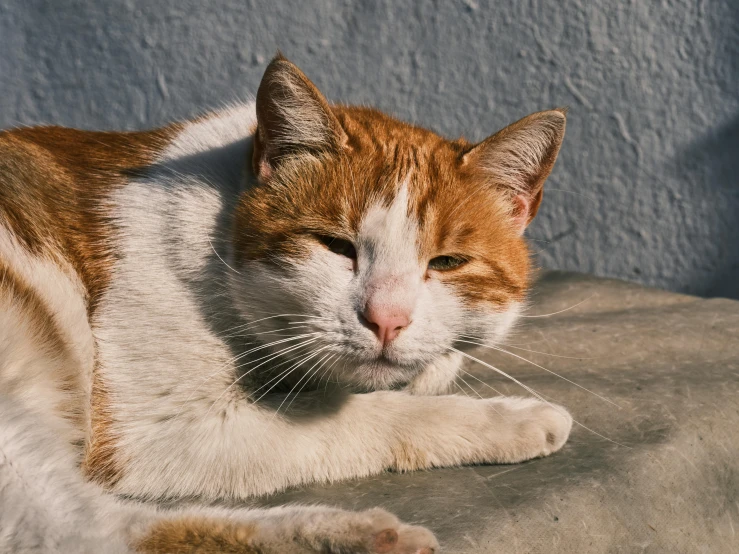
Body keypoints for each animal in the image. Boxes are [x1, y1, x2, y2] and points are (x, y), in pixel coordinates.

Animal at [0, 52, 572, 552]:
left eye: (448, 262)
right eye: (336, 245)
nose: (386, 320)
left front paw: (433, 368)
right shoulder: (159, 431)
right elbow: (366, 416)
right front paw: (504, 419)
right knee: (93, 534)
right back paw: (364, 536)